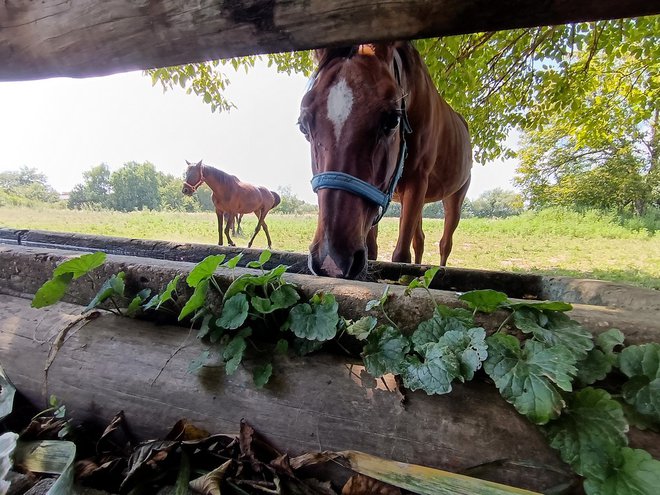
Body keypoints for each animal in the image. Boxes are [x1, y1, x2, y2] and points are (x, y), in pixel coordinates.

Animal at [296, 42, 472, 280]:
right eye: (303, 126)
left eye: (392, 120)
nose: (332, 260)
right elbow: (373, 251)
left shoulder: (416, 183)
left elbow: (401, 257)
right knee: (420, 241)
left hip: (454, 198)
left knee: (445, 243)